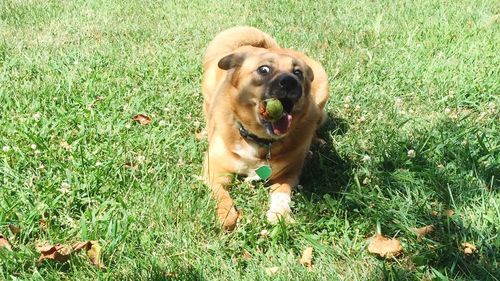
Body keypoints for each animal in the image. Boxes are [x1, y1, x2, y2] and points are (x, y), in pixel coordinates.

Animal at [201, 26, 330, 230]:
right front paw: (227, 215)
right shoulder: (214, 170)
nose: (290, 81)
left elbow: (282, 193)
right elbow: (221, 194)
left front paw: (280, 213)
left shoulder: (288, 175)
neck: (259, 141)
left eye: (298, 72)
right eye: (264, 69)